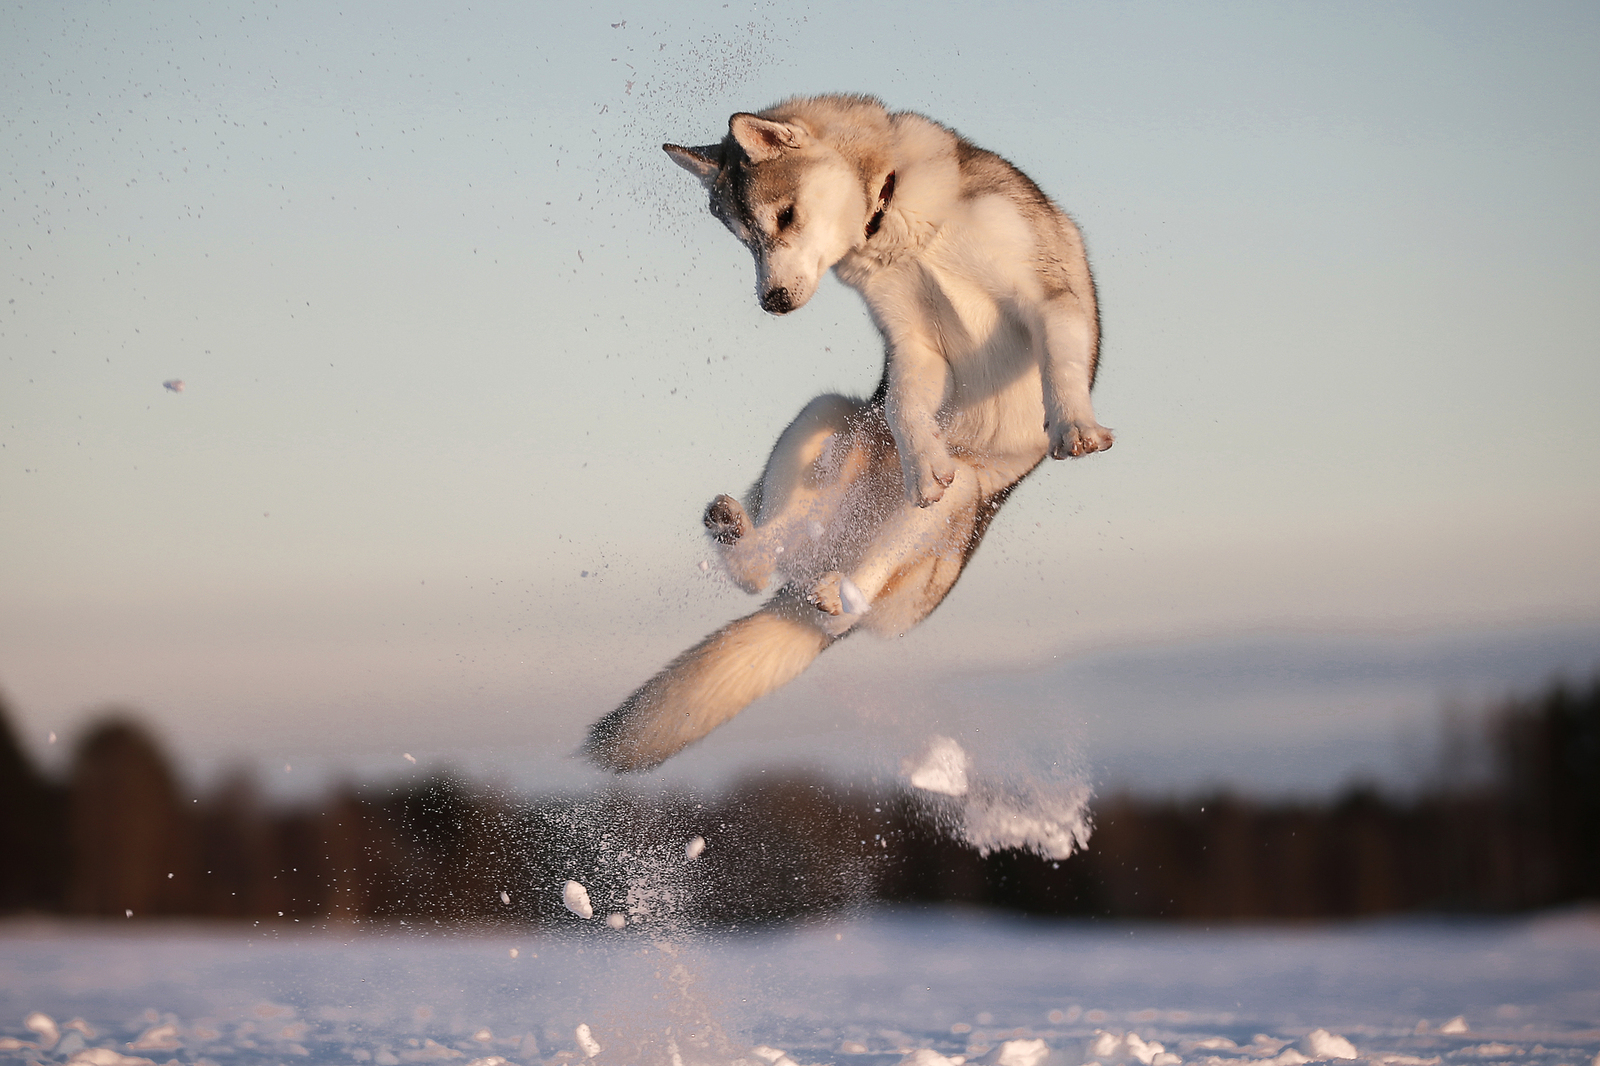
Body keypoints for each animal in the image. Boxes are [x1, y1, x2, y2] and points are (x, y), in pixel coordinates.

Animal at [585, 95, 1113, 768]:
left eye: (785, 216)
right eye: (745, 239)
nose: (774, 301)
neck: (897, 221)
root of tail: (823, 561)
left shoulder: (1046, 295)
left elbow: (1060, 368)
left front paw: (1074, 423)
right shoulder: (913, 344)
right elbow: (909, 409)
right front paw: (920, 456)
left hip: (961, 497)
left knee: (865, 574)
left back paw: (840, 591)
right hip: (826, 418)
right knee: (769, 560)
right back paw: (745, 540)